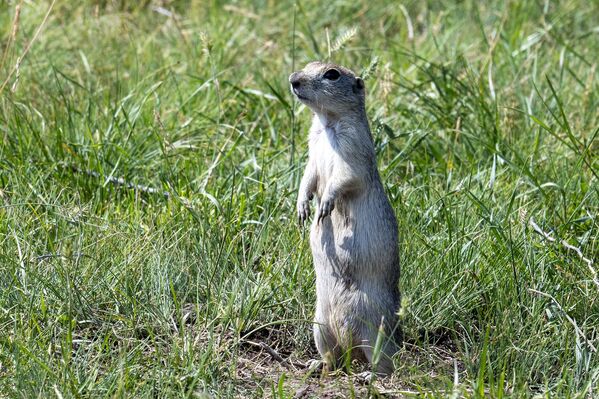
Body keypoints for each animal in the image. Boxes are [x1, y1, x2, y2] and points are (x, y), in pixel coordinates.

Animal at [290, 61, 404, 376]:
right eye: (306, 65)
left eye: (332, 74)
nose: (293, 79)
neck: (327, 123)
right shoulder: (312, 151)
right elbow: (308, 177)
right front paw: (302, 207)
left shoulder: (354, 150)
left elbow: (345, 178)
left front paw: (325, 205)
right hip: (319, 326)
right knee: (334, 359)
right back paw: (315, 364)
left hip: (374, 330)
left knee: (386, 364)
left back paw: (369, 375)